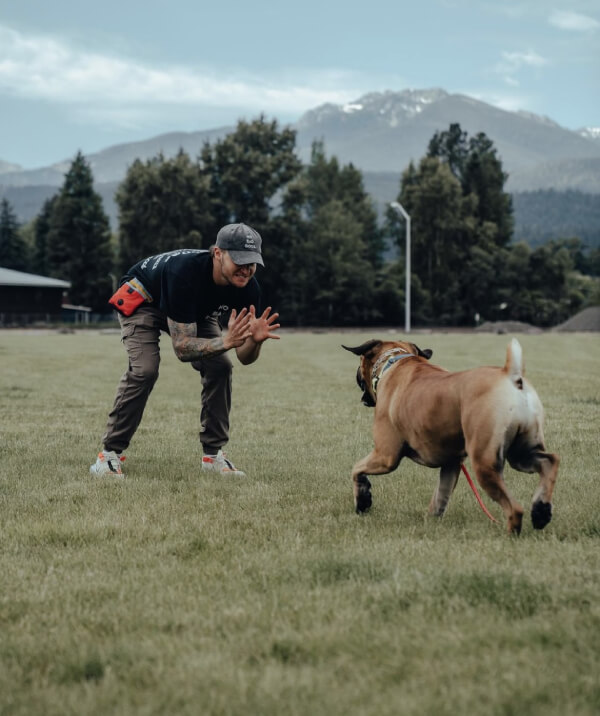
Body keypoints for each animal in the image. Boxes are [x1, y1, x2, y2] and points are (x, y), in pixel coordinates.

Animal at [344, 338, 560, 536]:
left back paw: (513, 532)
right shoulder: (451, 464)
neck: (396, 361)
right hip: (521, 454)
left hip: (485, 463)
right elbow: (440, 497)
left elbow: (356, 468)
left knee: (515, 509)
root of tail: (511, 376)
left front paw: (363, 499)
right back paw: (541, 511)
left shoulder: (385, 456)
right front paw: (431, 522)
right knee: (549, 461)